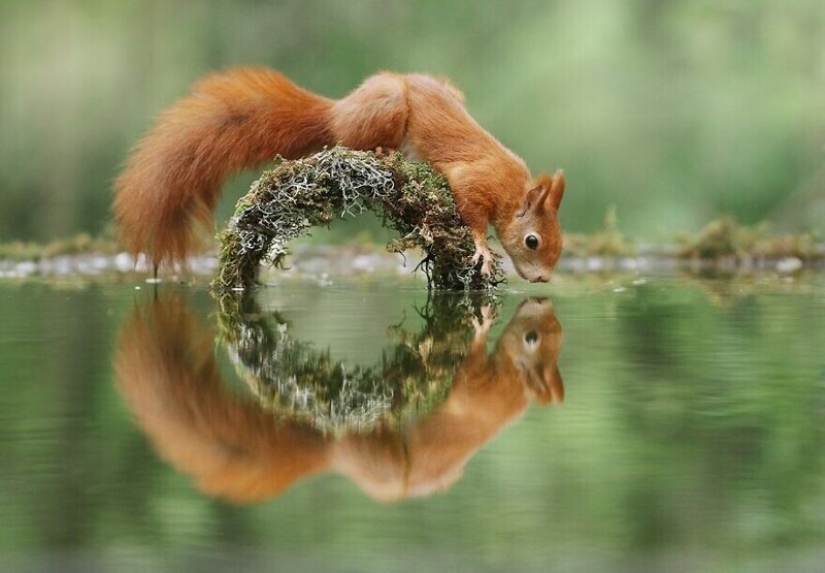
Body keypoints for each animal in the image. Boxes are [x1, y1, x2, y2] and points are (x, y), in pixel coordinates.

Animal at [114, 67, 568, 282]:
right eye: (533, 241)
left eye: (559, 244)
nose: (543, 280)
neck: (513, 191)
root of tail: (339, 110)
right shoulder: (476, 181)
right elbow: (471, 212)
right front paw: (483, 248)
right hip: (386, 107)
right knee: (354, 140)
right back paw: (381, 150)